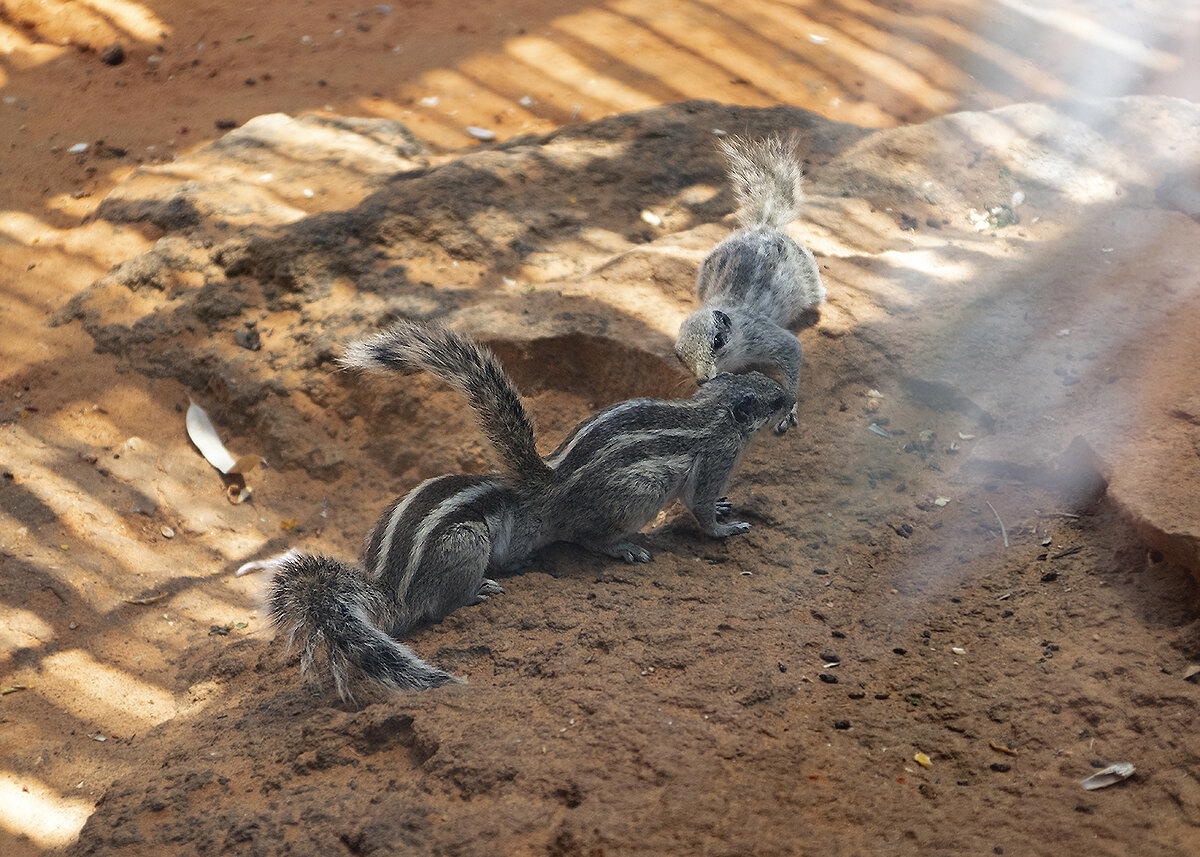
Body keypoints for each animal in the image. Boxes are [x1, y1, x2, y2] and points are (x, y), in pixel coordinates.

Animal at [250, 316, 787, 696]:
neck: (713, 410)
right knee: (568, 544)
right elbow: (701, 507)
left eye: (764, 383)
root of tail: (388, 596)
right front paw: (725, 527)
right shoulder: (717, 457)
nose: (791, 400)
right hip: (594, 507)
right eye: (771, 398)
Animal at [676, 133, 825, 434]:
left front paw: (789, 407)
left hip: (810, 281)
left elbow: (792, 353)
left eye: (718, 341)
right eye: (679, 357)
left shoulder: (764, 336)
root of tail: (763, 226)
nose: (703, 380)